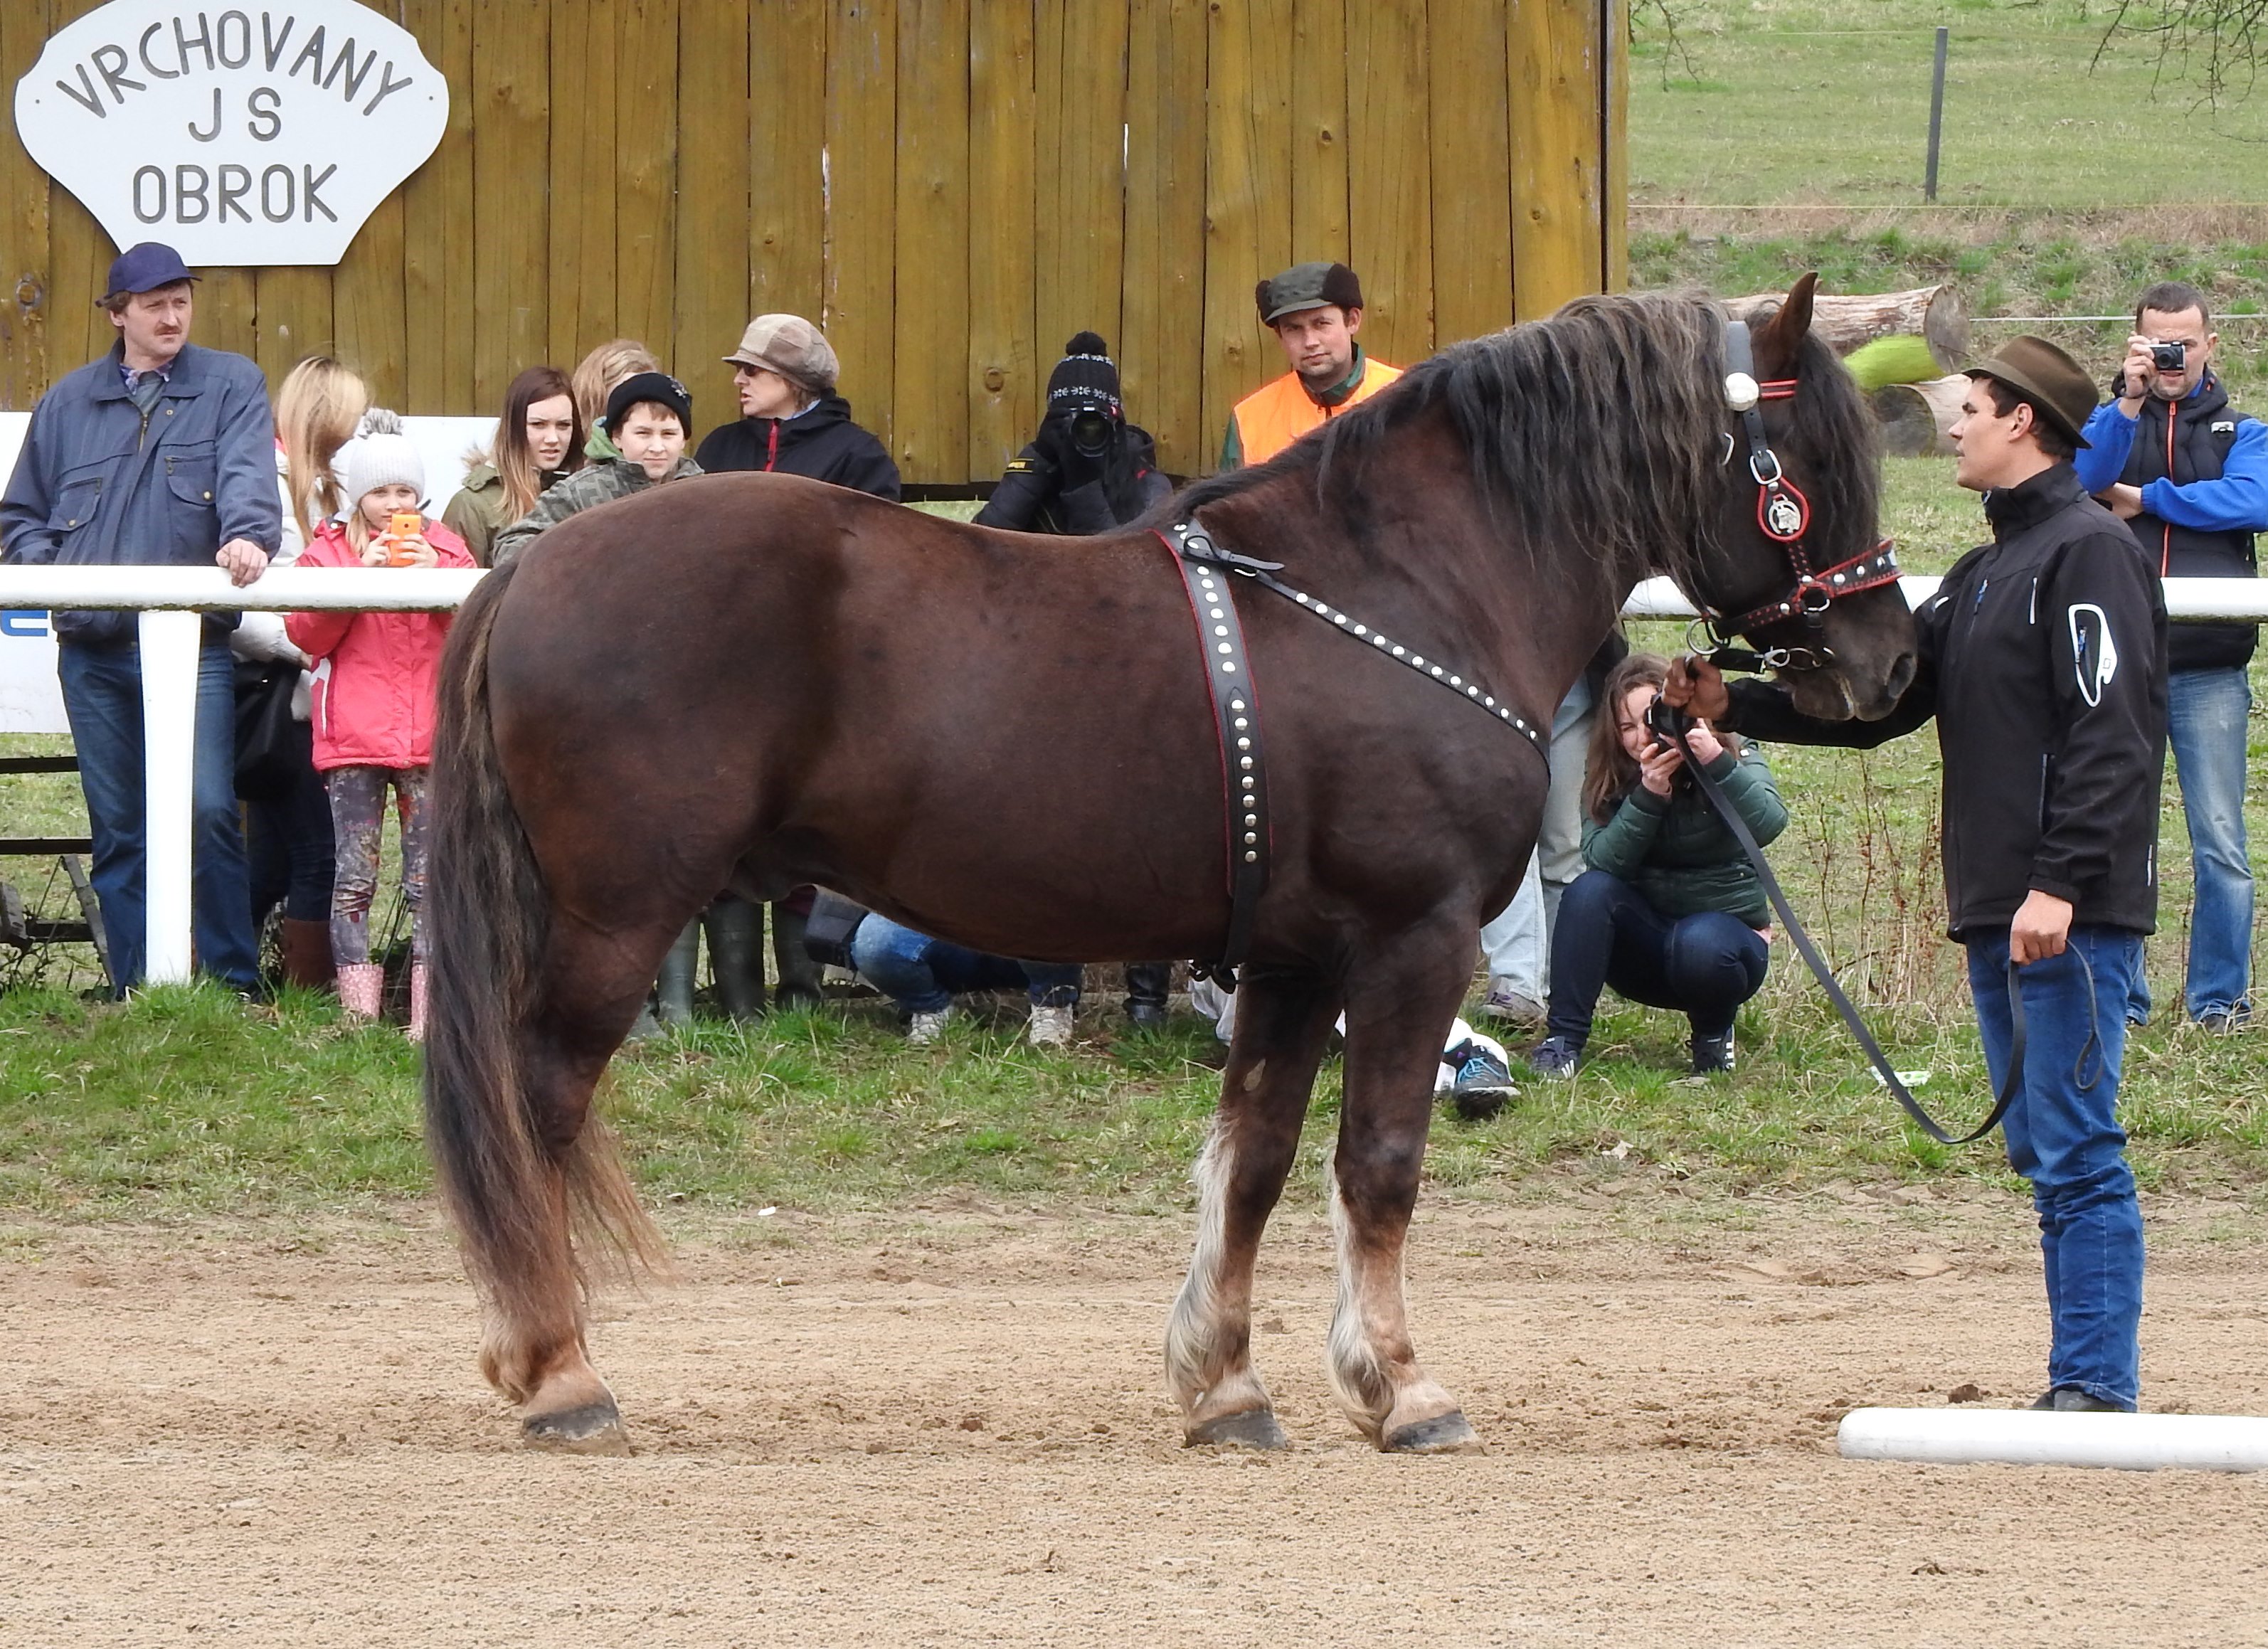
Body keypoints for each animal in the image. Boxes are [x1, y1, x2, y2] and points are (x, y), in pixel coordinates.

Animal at [426, 280, 1914, 1460]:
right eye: (1805, 460)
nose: (1885, 662)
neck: (1403, 585)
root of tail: (537, 566)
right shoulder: (1410, 941)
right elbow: (1378, 1162)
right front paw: (1400, 1386)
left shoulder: (1294, 959)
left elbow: (1252, 1158)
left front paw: (1225, 1383)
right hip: (617, 917)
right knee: (537, 1100)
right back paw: (559, 1370)